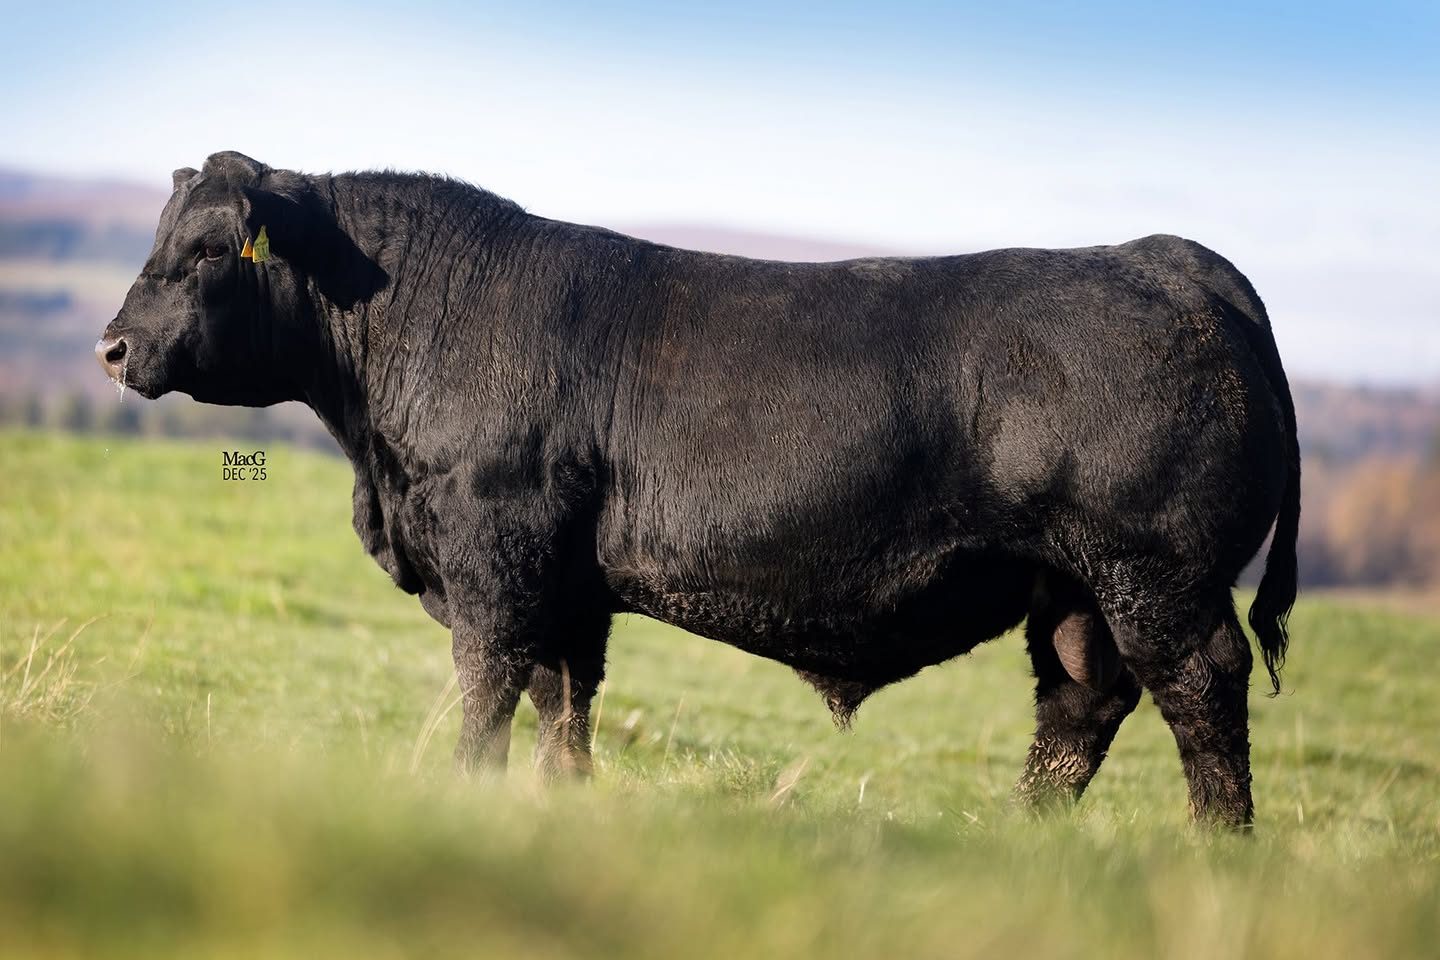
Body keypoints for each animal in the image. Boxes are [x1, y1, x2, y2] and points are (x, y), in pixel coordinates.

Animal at [98, 151, 1299, 828]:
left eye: (210, 251)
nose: (111, 347)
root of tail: (1166, 256)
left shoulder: (494, 561)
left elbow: (488, 694)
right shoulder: (567, 587)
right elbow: (563, 707)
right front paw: (557, 810)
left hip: (1155, 571)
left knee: (1201, 691)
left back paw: (1218, 857)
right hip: (1074, 587)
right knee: (1079, 705)